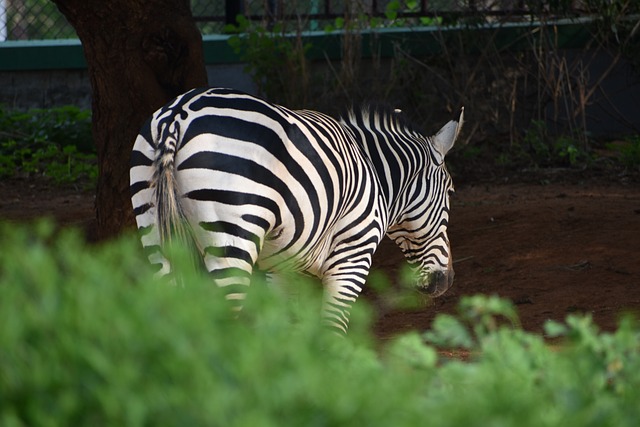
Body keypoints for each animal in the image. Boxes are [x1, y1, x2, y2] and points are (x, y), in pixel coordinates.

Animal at [130, 88, 462, 334]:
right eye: (450, 192)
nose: (447, 280)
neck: (376, 175)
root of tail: (178, 113)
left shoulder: (281, 266)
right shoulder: (351, 257)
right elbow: (332, 330)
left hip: (156, 233)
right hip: (231, 241)